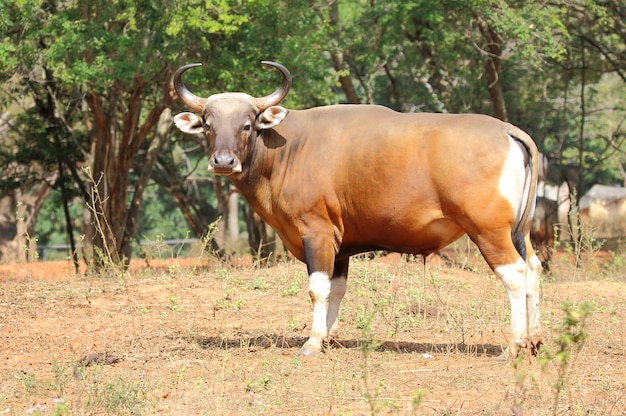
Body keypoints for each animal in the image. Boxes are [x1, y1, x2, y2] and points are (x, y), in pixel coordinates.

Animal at [171, 61, 540, 358]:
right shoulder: (341, 245)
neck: (287, 149)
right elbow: (337, 289)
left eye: (247, 124)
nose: (223, 161)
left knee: (515, 274)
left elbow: (317, 288)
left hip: (488, 231)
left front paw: (313, 342)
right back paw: (534, 339)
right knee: (534, 267)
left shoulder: (316, 232)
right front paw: (329, 335)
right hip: (519, 231)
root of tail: (506, 130)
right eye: (208, 124)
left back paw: (513, 345)